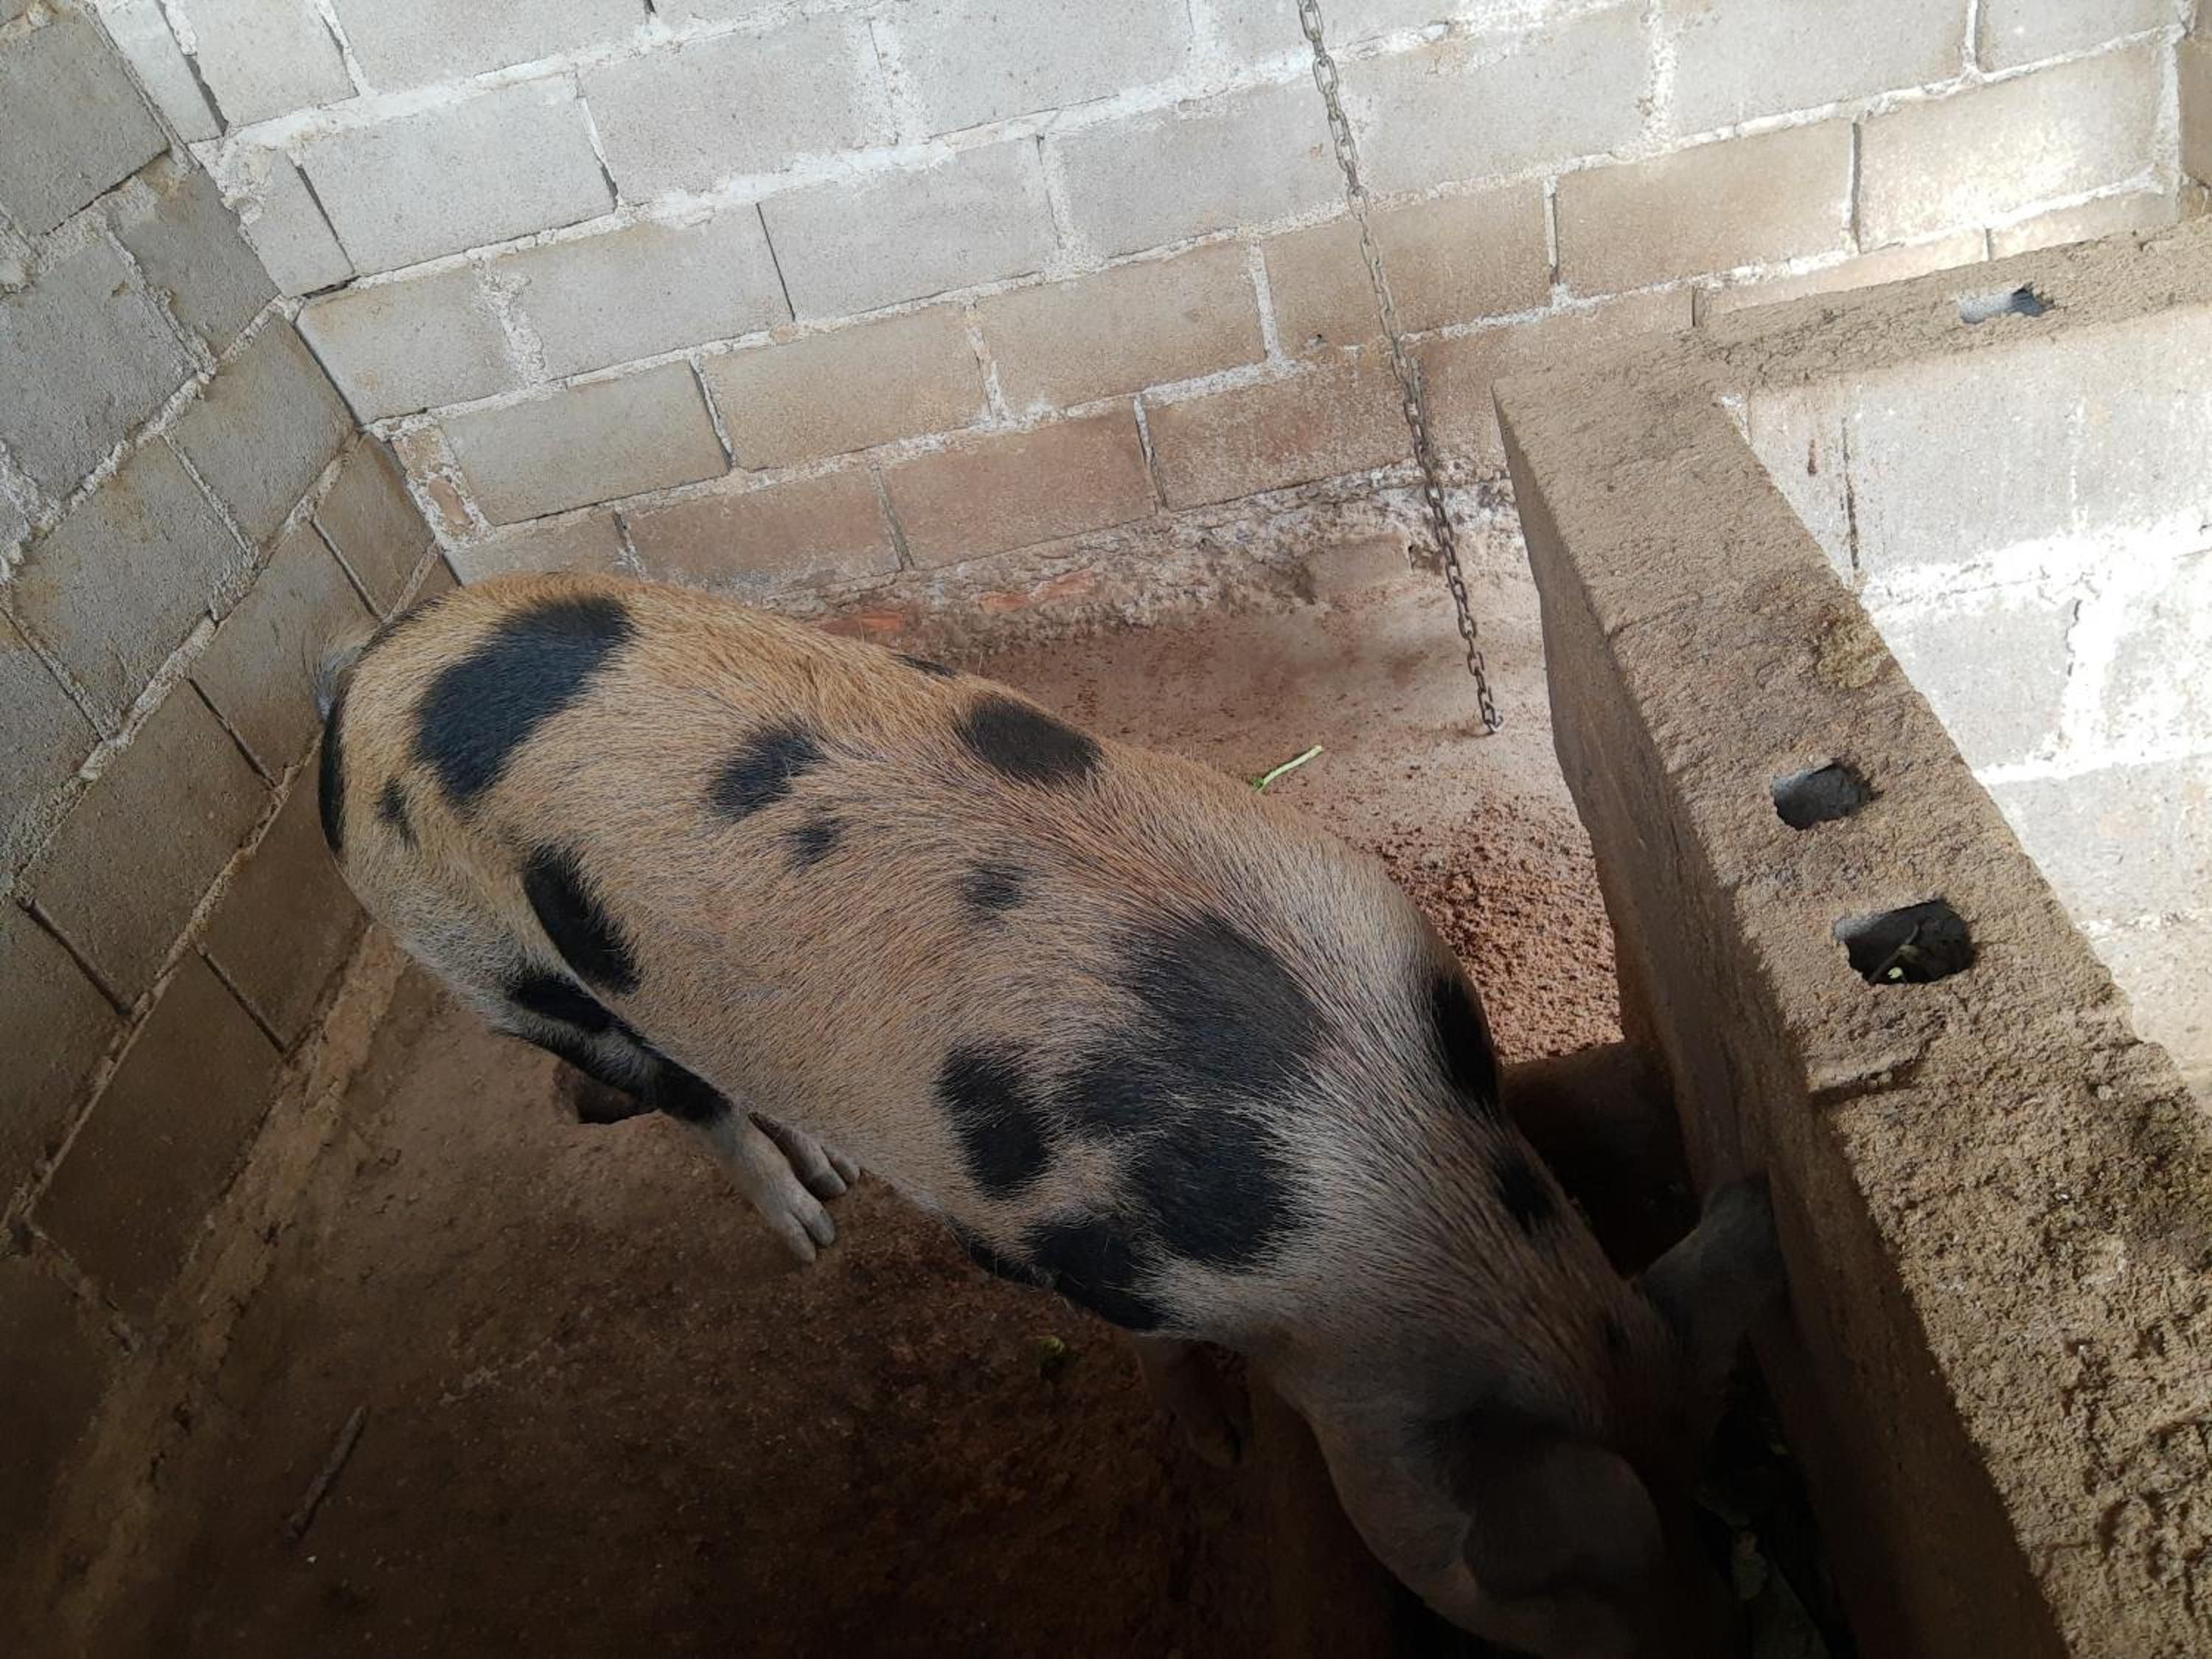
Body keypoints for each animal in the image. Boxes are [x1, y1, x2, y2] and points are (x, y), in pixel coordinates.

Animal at [314, 571, 1783, 1658]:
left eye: (1716, 1514)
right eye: (1545, 1596)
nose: (1722, 1640)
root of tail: (365, 670)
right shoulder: (1046, 1235)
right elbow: (1153, 1355)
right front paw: (1218, 1439)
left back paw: (833, 1168)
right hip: (482, 960)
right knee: (676, 1095)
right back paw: (812, 1225)